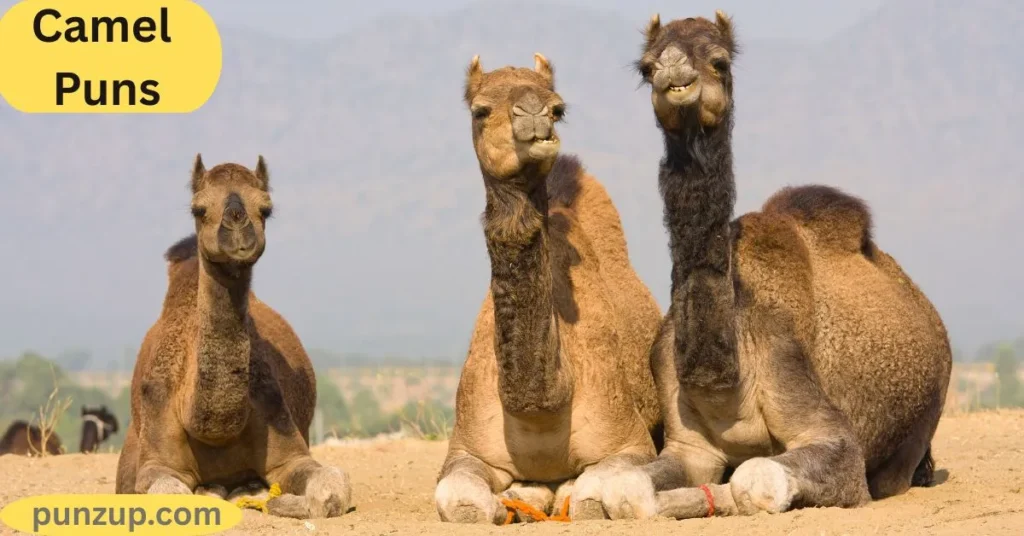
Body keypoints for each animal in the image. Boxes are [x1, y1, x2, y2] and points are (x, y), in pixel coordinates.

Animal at [115, 155, 352, 520]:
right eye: (198, 209)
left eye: (266, 208)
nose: (238, 224)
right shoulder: (156, 459)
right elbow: (172, 493)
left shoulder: (287, 443)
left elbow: (333, 487)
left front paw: (280, 501)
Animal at [434, 54, 663, 524]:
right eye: (480, 110)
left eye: (559, 109)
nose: (535, 114)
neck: (541, 409)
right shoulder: (465, 448)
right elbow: (458, 498)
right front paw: (503, 504)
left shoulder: (630, 442)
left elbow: (590, 498)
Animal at [577, 12, 953, 519]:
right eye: (646, 66)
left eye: (718, 60)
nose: (673, 72)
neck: (727, 370)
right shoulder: (689, 447)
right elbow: (628, 487)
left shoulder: (820, 420)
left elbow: (757, 478)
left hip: (923, 420)